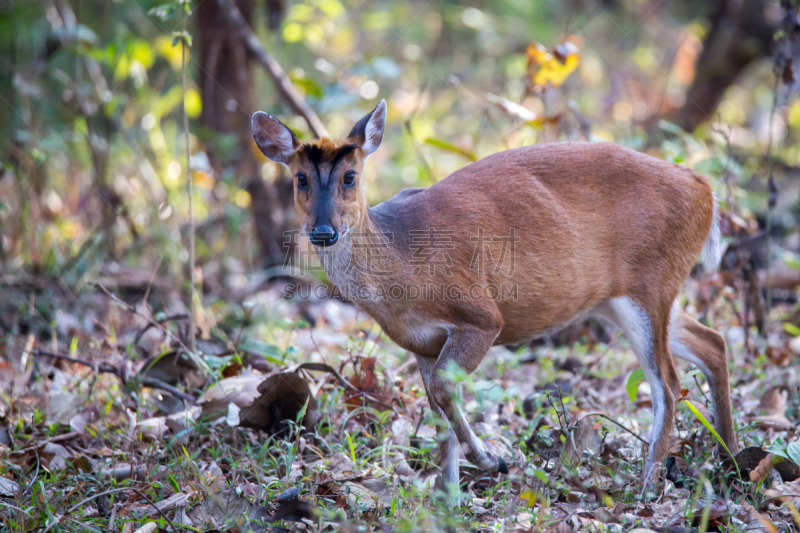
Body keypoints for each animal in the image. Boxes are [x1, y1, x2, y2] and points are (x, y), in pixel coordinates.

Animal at [250, 101, 736, 494]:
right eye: (300, 179)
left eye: (350, 177)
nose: (322, 231)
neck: (402, 263)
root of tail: (705, 189)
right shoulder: (421, 342)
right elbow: (437, 411)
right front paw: (447, 497)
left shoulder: (481, 314)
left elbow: (445, 390)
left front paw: (491, 460)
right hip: (620, 298)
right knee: (713, 341)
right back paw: (729, 460)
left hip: (651, 282)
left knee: (668, 384)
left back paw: (650, 484)